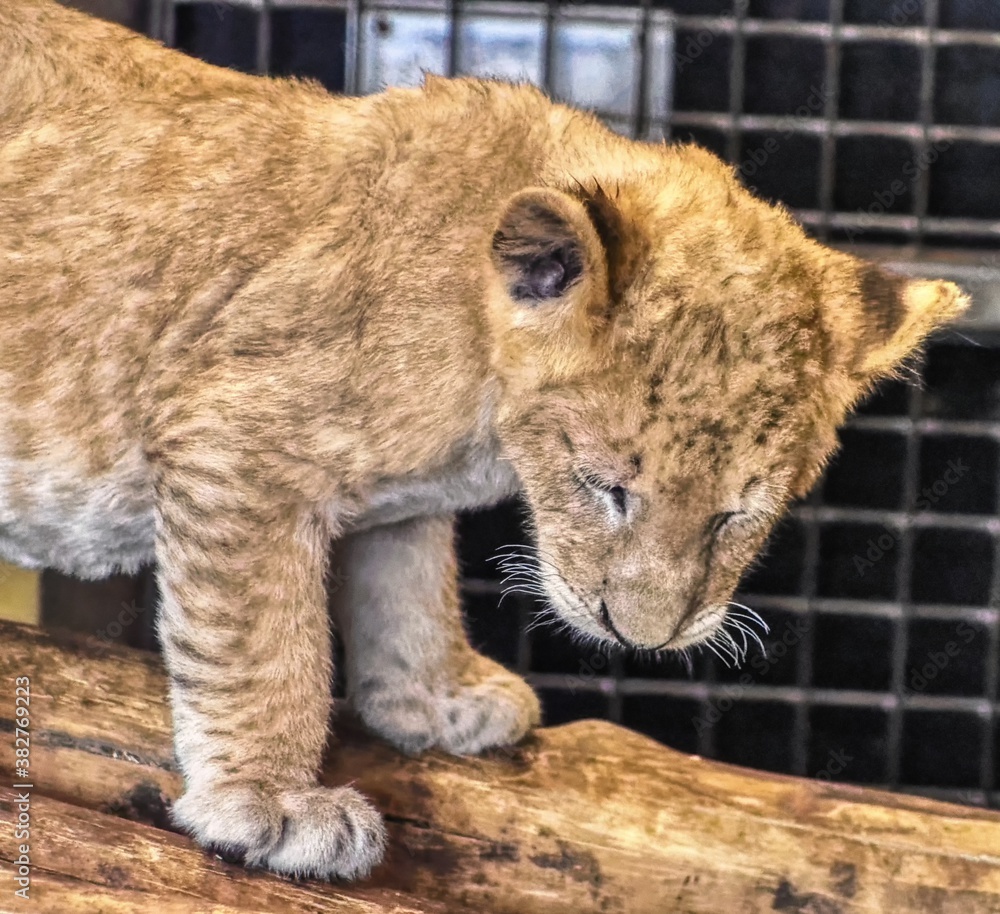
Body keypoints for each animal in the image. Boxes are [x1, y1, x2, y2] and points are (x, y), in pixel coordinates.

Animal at [0, 0, 968, 879]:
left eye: (736, 517)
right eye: (605, 486)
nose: (643, 639)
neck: (480, 404)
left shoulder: (391, 503)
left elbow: (408, 588)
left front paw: (436, 699)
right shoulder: (228, 435)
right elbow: (265, 643)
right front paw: (268, 803)